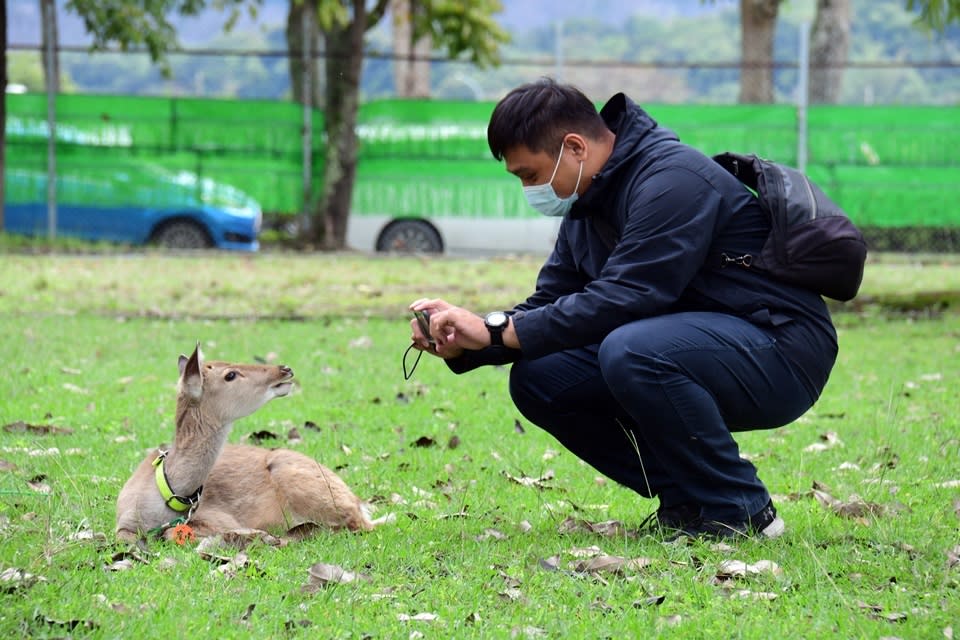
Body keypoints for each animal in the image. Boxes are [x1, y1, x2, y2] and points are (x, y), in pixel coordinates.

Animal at [117, 342, 376, 544]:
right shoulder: (122, 523)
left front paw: (255, 535)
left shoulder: (220, 516)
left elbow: (174, 533)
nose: (284, 369)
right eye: (230, 374)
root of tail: (359, 502)